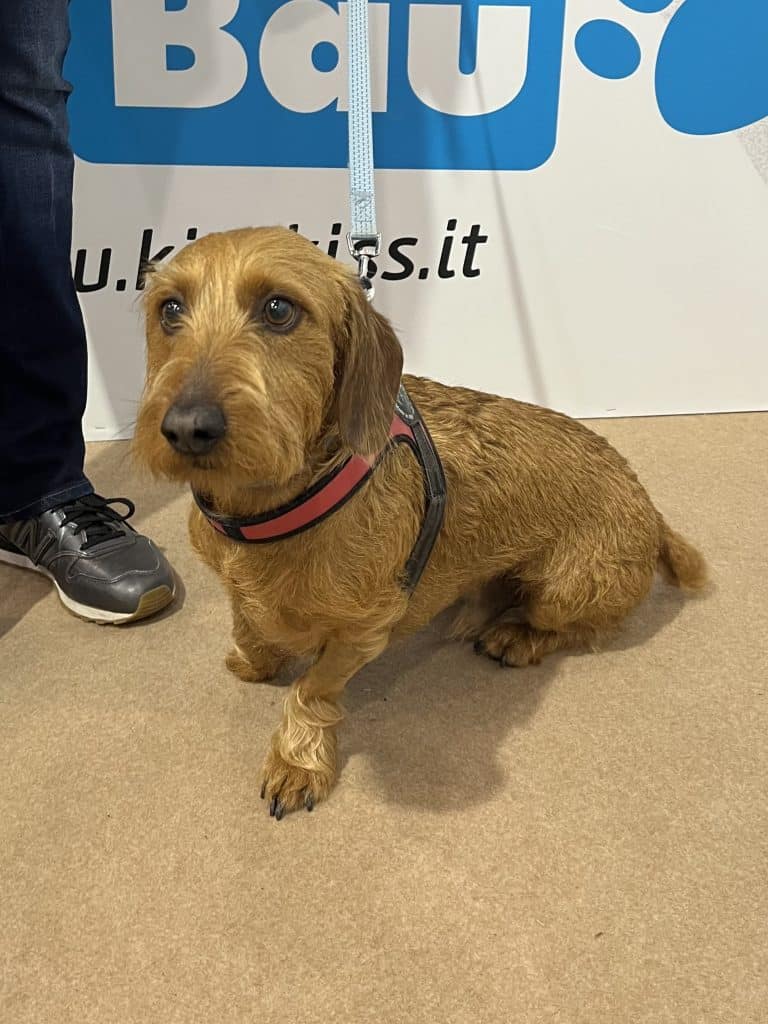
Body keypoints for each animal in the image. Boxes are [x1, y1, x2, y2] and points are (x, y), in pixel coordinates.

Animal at [134, 226, 707, 819]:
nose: (186, 428)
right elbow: (246, 621)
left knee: (580, 628)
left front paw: (298, 761)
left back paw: (517, 636)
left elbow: (312, 690)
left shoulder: (364, 631)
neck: (267, 510)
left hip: (566, 589)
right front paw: (255, 659)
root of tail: (650, 508)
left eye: (278, 309)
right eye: (170, 309)